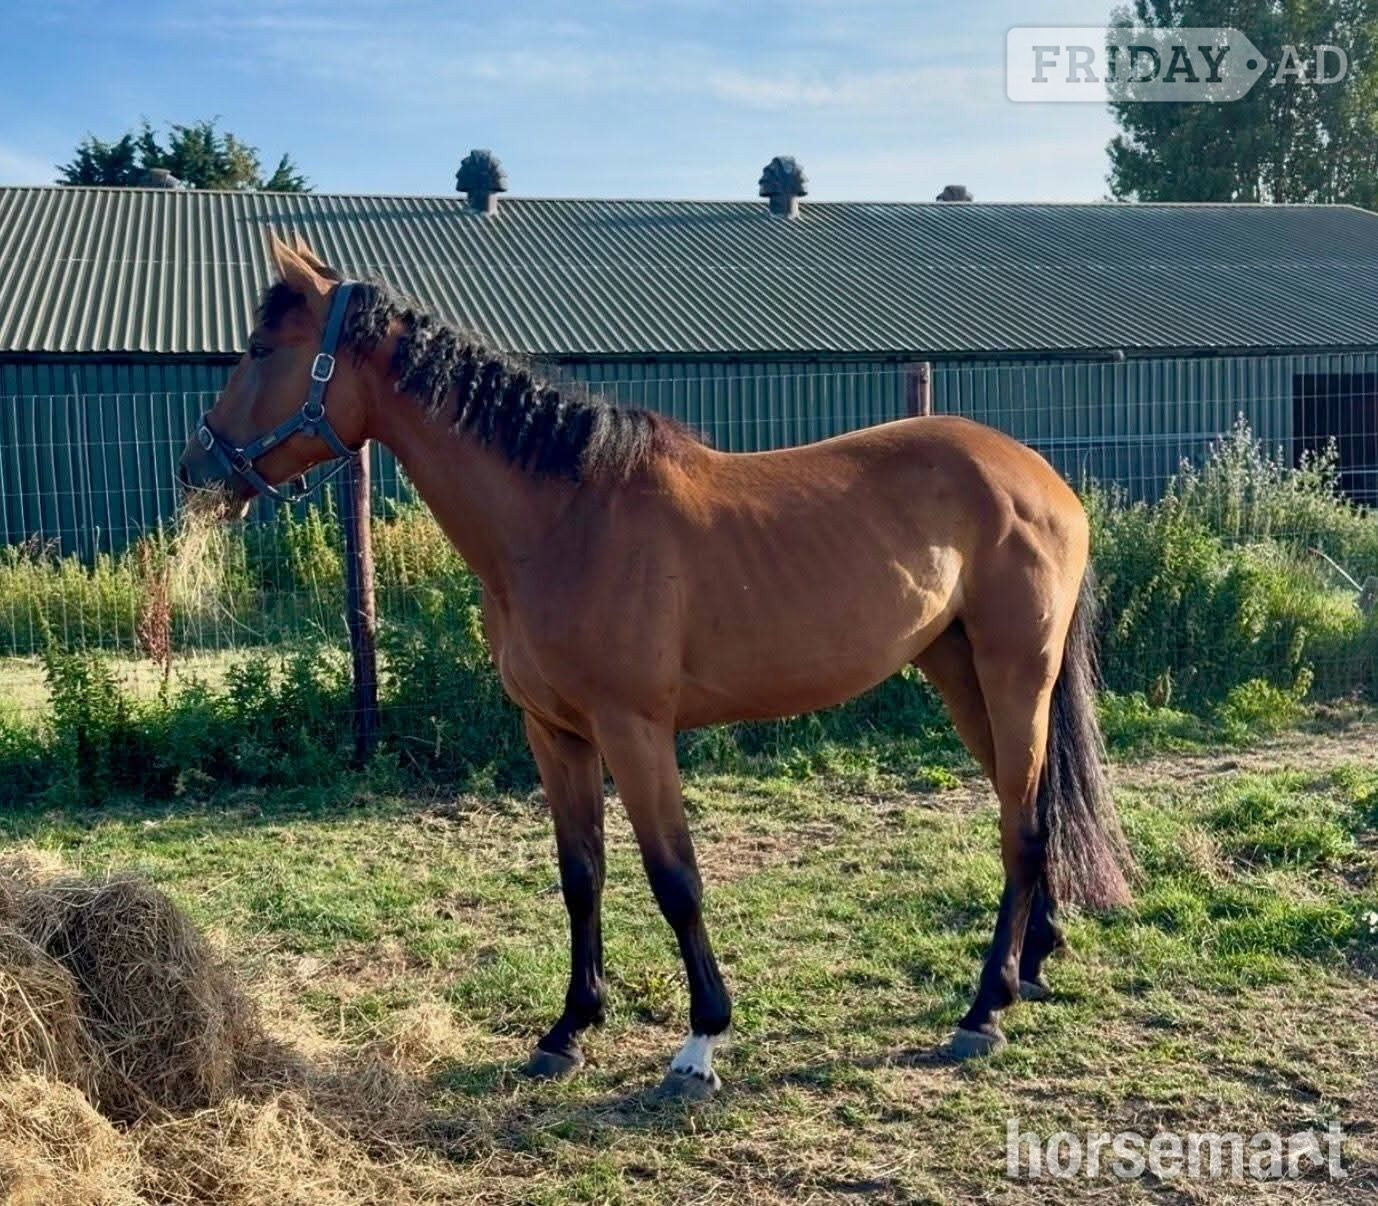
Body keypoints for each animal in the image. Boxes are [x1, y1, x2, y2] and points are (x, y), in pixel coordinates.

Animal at [179, 236, 1131, 1099]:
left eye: (261, 350)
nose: (196, 466)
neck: (562, 520)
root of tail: (1042, 478)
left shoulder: (636, 732)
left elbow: (675, 879)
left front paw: (700, 1043)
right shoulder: (554, 732)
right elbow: (581, 876)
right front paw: (568, 1030)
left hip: (1015, 673)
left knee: (1022, 823)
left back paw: (984, 1010)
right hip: (958, 670)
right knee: (1033, 805)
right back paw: (1034, 962)